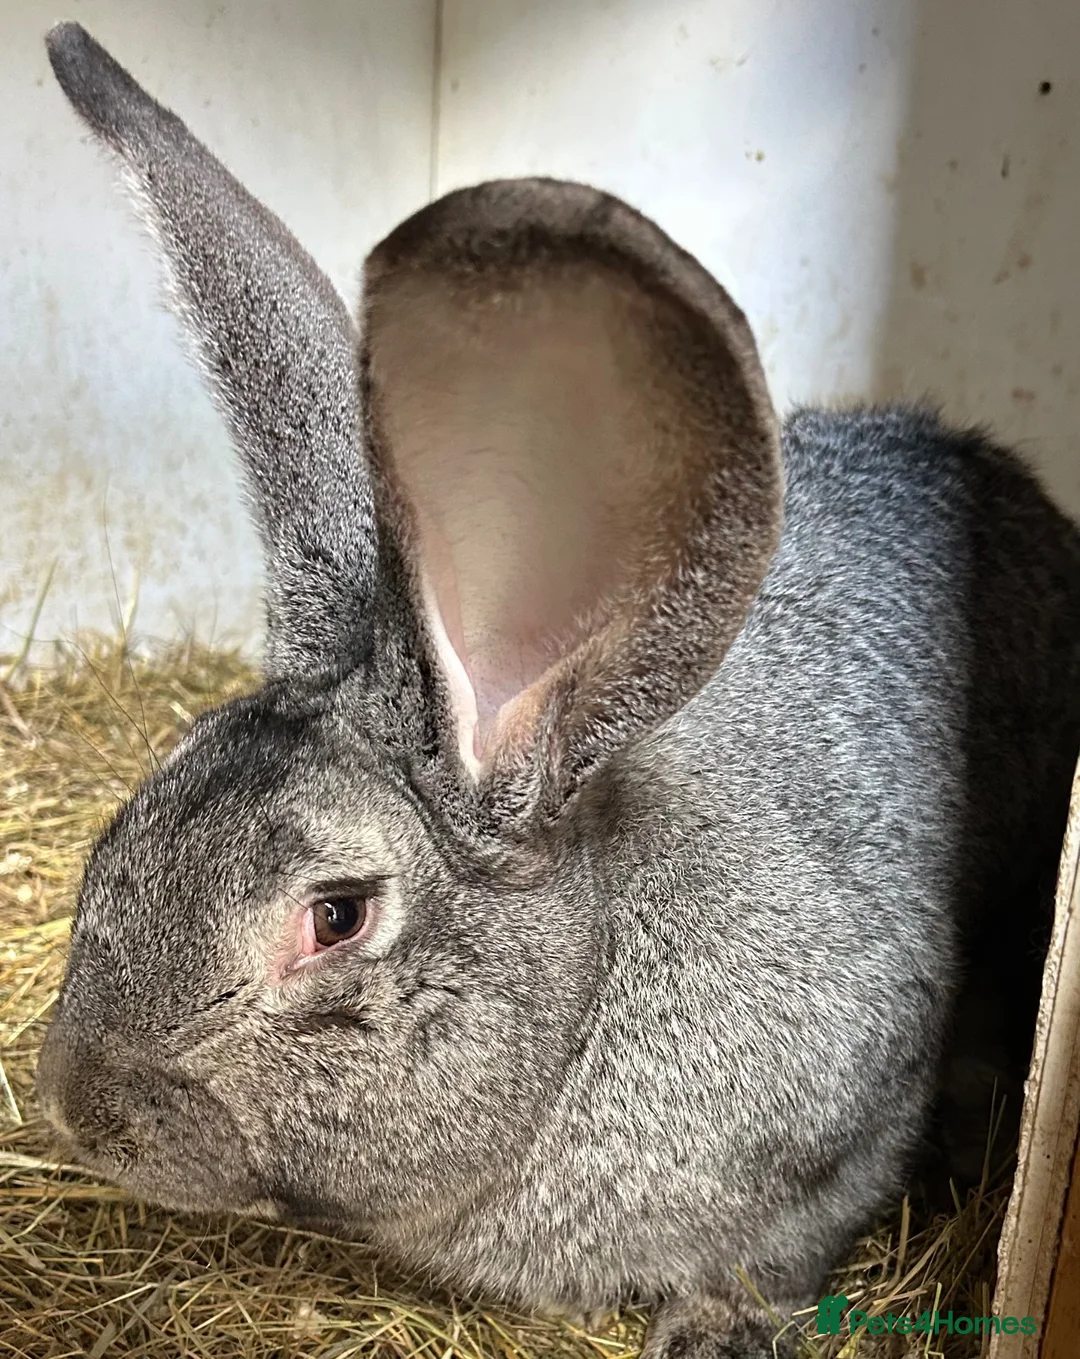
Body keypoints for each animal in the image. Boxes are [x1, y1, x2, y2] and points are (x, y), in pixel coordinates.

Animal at [35, 21, 1080, 1359]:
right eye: (131, 819)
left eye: (337, 917)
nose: (74, 1106)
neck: (593, 981)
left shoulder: (849, 1115)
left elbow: (784, 1246)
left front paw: (713, 1329)